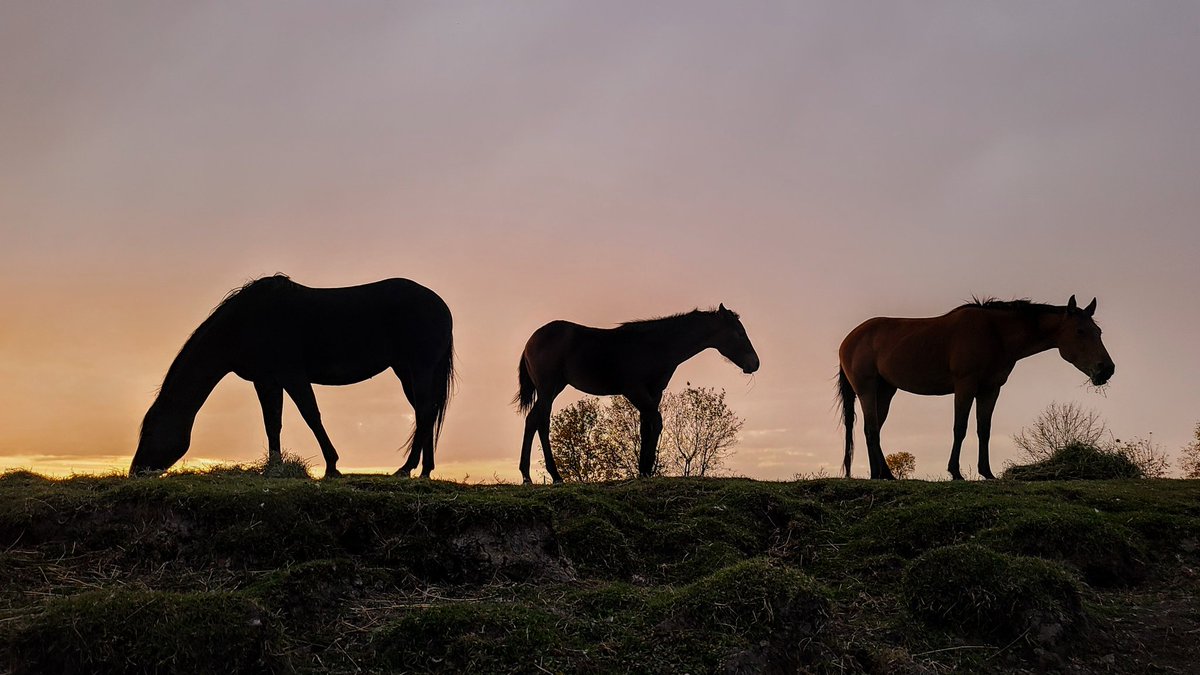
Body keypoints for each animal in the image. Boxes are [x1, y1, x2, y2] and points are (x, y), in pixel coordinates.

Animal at [130, 275, 455, 478]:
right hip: (406, 371)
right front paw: (274, 468)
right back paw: (423, 470)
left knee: (424, 413)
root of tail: (441, 306)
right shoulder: (266, 380)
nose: (135, 471)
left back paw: (406, 468)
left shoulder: (292, 375)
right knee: (425, 413)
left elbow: (311, 415)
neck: (245, 323)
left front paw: (332, 466)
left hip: (419, 368)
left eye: (150, 431)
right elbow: (272, 423)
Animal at [514, 305, 759, 483]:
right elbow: (657, 422)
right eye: (739, 333)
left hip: (554, 388)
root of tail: (530, 341)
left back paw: (532, 475)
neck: (655, 345)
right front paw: (647, 468)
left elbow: (645, 427)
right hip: (548, 389)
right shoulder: (635, 390)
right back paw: (550, 476)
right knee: (540, 422)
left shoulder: (653, 393)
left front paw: (643, 470)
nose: (755, 363)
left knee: (534, 420)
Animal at [836, 296, 1114, 480]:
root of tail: (848, 339)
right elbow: (960, 428)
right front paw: (956, 472)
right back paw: (879, 475)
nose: (1107, 369)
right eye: (1080, 331)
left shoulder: (990, 390)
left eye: (1099, 331)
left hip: (885, 392)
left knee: (873, 430)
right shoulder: (965, 385)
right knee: (872, 430)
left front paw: (987, 473)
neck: (995, 333)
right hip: (867, 390)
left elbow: (984, 430)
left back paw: (883, 474)